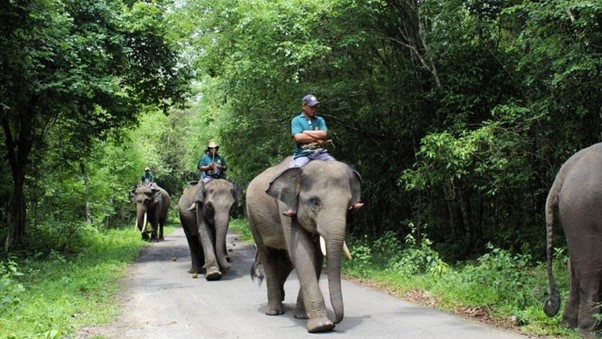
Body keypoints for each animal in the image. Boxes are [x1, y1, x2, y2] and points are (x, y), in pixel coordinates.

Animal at [245, 158, 360, 334]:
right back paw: (273, 311)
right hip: (253, 218)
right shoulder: (286, 208)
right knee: (268, 255)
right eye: (314, 202)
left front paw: (303, 316)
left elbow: (316, 256)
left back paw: (282, 297)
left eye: (348, 204)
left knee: (286, 259)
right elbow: (302, 254)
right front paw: (322, 326)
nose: (335, 321)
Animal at [540, 142, 600, 334]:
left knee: (574, 266)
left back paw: (567, 325)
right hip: (584, 210)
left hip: (574, 212)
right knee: (591, 268)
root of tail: (565, 171)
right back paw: (590, 332)